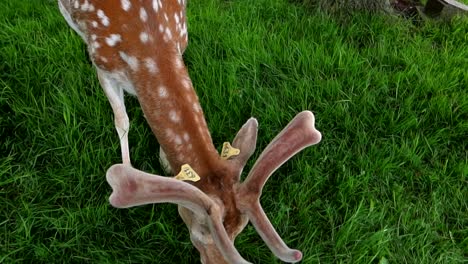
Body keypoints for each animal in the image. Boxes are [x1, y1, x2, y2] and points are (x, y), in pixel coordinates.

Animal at [57, 1, 322, 262]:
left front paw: (166, 161)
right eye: (198, 234)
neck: (148, 43)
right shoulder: (103, 65)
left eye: (240, 230)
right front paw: (128, 166)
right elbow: (122, 120)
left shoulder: (180, 37)